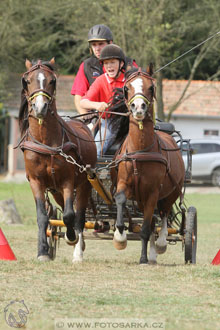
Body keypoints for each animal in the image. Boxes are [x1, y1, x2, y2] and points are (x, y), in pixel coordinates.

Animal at [19, 58, 97, 260]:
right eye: (27, 81)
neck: (46, 143)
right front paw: (43, 252)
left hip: (84, 185)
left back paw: (78, 250)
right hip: (55, 191)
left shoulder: (68, 181)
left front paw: (71, 237)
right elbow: (42, 216)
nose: (40, 107)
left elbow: (70, 215)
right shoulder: (36, 182)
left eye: (52, 80)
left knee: (79, 216)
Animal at [111, 65, 185, 264]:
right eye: (126, 88)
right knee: (152, 221)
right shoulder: (124, 183)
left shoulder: (152, 192)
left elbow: (145, 229)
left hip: (170, 193)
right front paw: (120, 237)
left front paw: (143, 258)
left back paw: (159, 244)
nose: (138, 107)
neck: (140, 151)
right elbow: (120, 199)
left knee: (163, 214)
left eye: (151, 87)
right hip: (142, 199)